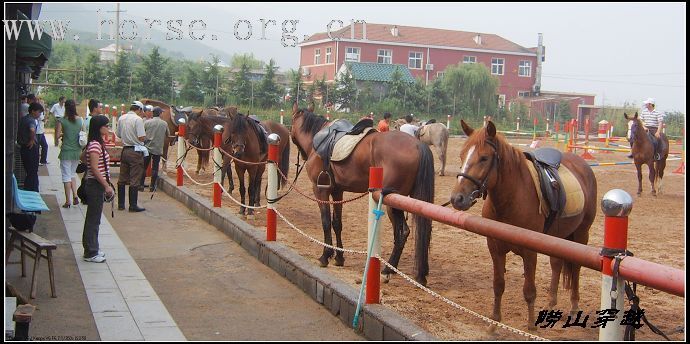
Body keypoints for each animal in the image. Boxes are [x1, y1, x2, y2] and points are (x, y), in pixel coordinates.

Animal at [290, 103, 436, 284]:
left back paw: (387, 270)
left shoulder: (321, 190)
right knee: (421, 231)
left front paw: (325, 256)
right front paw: (339, 257)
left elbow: (325, 222)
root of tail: (418, 145)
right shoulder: (337, 191)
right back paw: (417, 273)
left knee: (402, 232)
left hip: (392, 202)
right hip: (414, 201)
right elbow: (337, 223)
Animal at [448, 120, 592, 330]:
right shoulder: (495, 248)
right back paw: (551, 303)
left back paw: (574, 306)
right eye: (462, 155)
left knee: (576, 269)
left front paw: (531, 325)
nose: (457, 199)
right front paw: (494, 322)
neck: (511, 199)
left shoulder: (530, 251)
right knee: (556, 264)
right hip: (557, 237)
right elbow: (498, 285)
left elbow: (529, 290)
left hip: (581, 234)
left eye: (484, 158)